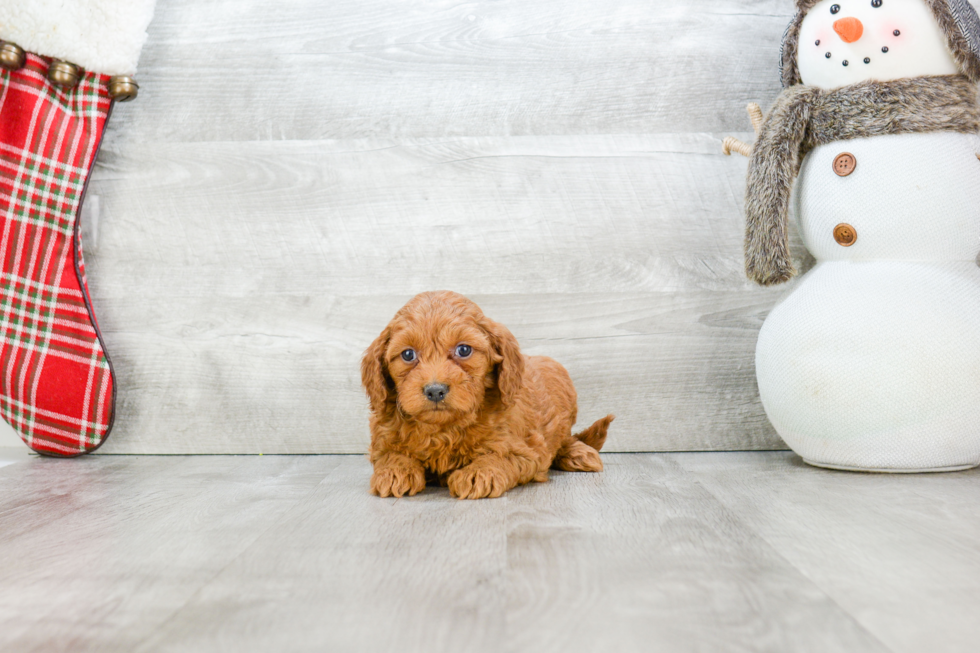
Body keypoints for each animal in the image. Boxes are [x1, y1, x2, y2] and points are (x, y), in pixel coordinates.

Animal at [364, 290, 616, 500]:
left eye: (464, 350)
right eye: (408, 354)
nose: (435, 390)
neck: (444, 428)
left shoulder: (526, 450)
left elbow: (500, 456)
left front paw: (478, 473)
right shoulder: (382, 437)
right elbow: (389, 453)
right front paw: (395, 471)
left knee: (565, 438)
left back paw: (578, 453)